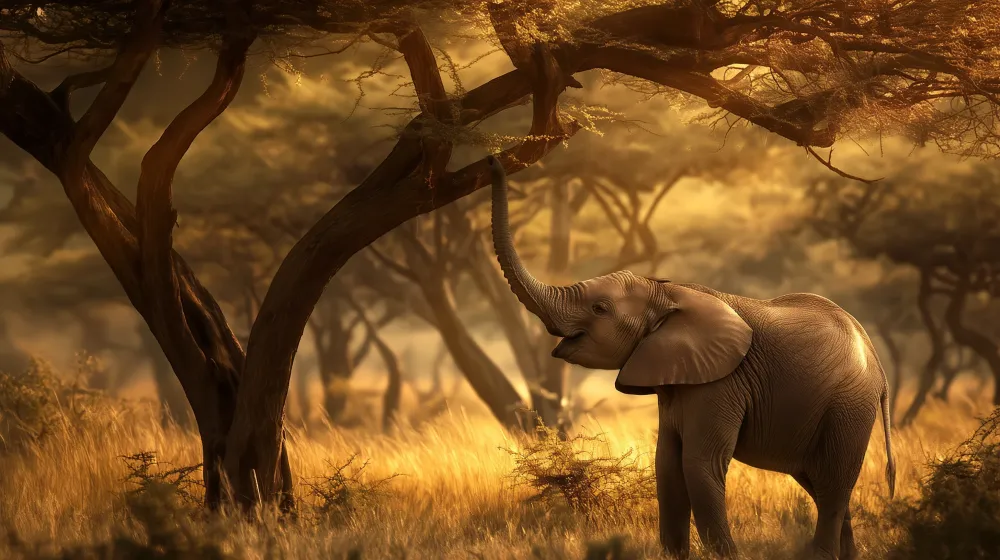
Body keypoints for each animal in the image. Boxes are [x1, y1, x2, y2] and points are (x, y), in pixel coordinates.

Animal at [485, 156, 895, 559]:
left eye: (600, 308)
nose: (492, 160)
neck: (666, 293)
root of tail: (877, 363)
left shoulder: (721, 382)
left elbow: (698, 465)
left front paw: (728, 557)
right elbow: (667, 465)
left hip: (849, 404)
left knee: (833, 482)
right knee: (819, 481)